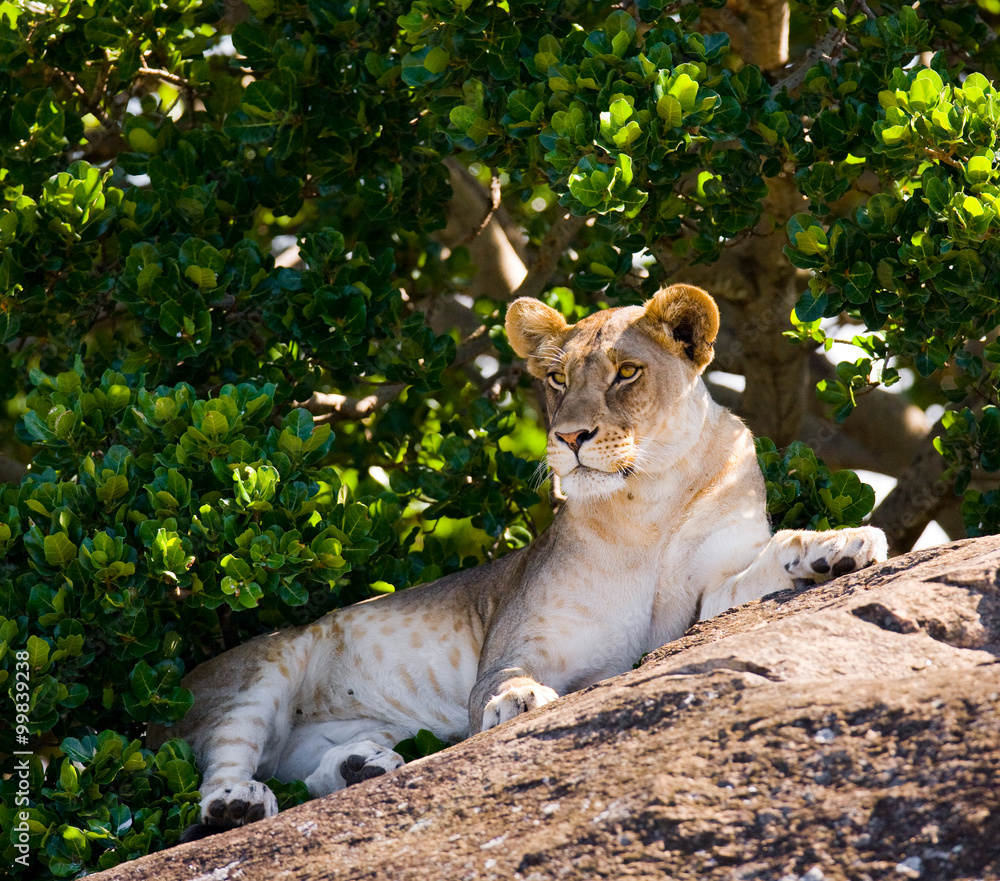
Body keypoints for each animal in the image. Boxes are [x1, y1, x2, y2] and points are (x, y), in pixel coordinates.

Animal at [149, 284, 887, 833]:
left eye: (626, 372)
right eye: (556, 379)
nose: (570, 436)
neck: (645, 502)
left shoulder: (706, 599)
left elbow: (770, 562)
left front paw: (839, 546)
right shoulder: (513, 640)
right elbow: (501, 680)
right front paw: (521, 700)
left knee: (303, 771)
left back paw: (361, 767)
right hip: (263, 668)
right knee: (225, 760)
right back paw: (236, 805)